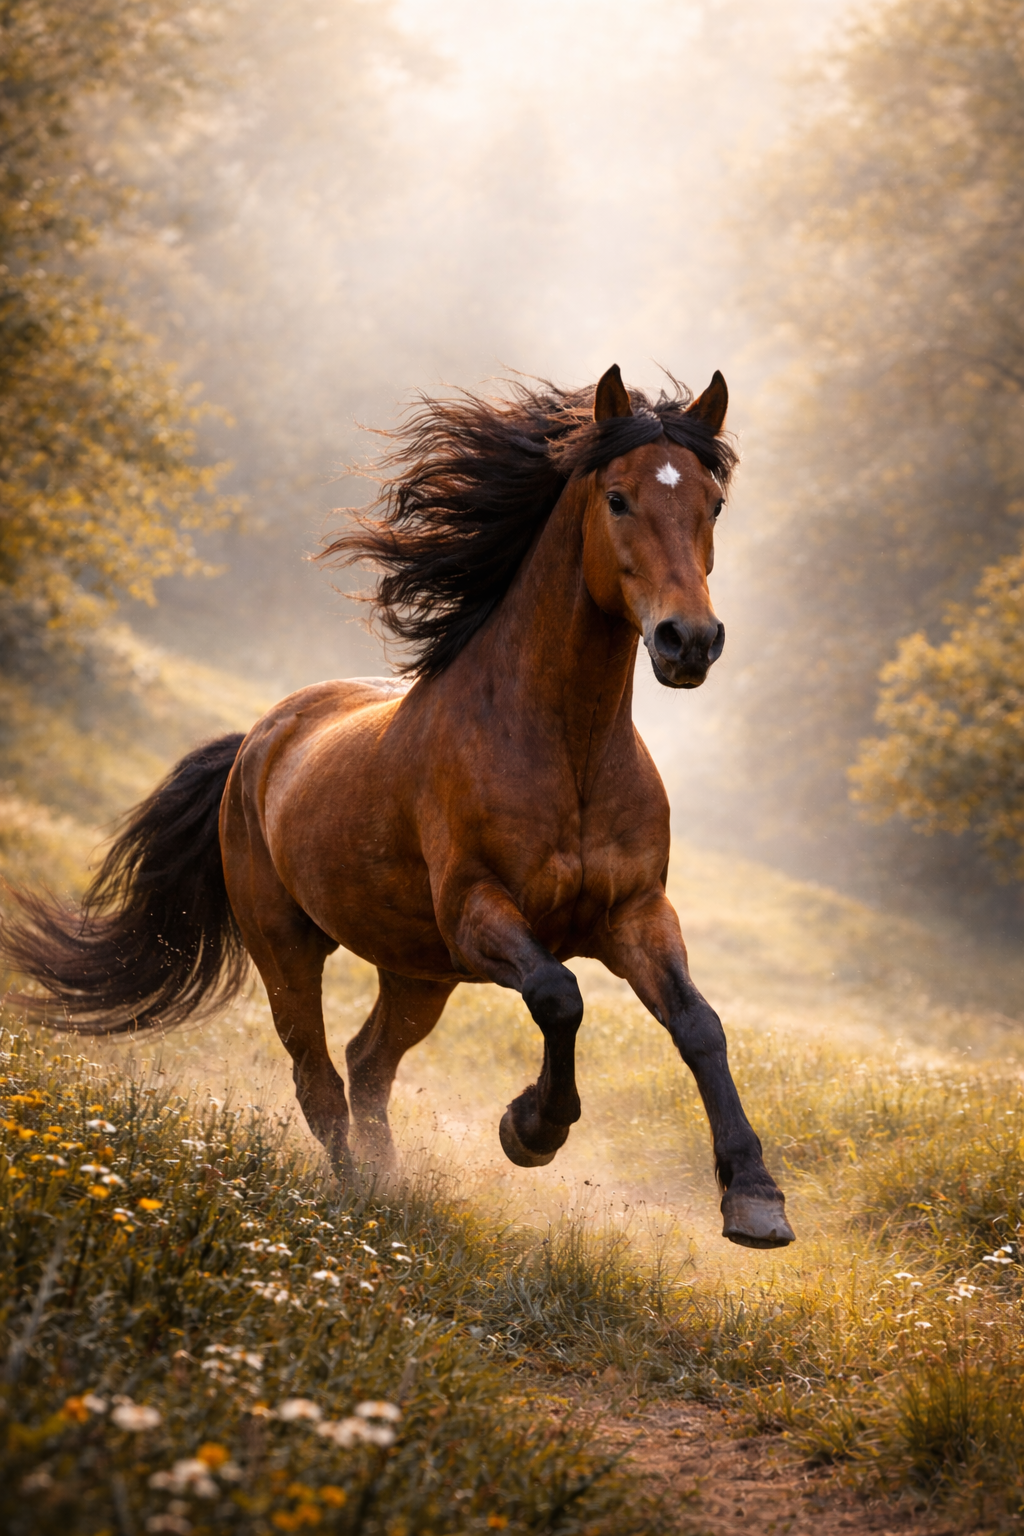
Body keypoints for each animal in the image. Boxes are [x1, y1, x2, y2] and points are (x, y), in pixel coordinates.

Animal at [1, 365, 795, 1249]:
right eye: (618, 498)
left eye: (712, 504)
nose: (688, 641)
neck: (568, 750)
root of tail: (256, 742)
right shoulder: (478, 911)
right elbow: (560, 995)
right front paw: (531, 1129)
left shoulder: (635, 913)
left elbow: (699, 1024)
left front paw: (755, 1199)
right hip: (289, 949)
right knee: (318, 1076)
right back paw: (359, 1194)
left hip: (418, 974)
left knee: (367, 1060)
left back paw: (388, 1181)